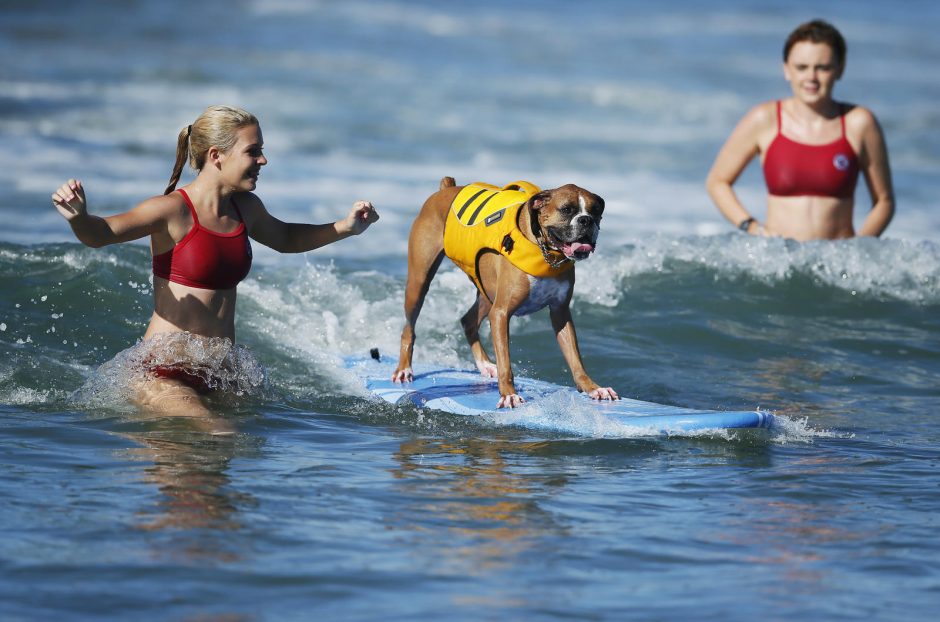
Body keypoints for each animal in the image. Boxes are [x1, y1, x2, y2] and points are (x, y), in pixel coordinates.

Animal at [392, 178, 616, 408]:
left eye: (596, 211)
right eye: (567, 209)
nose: (586, 220)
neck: (544, 251)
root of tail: (446, 189)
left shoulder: (560, 313)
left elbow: (575, 359)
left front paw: (592, 388)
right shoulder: (500, 313)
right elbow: (506, 362)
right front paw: (508, 394)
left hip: (486, 293)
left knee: (468, 321)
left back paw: (484, 365)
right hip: (419, 283)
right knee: (409, 328)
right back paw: (404, 369)